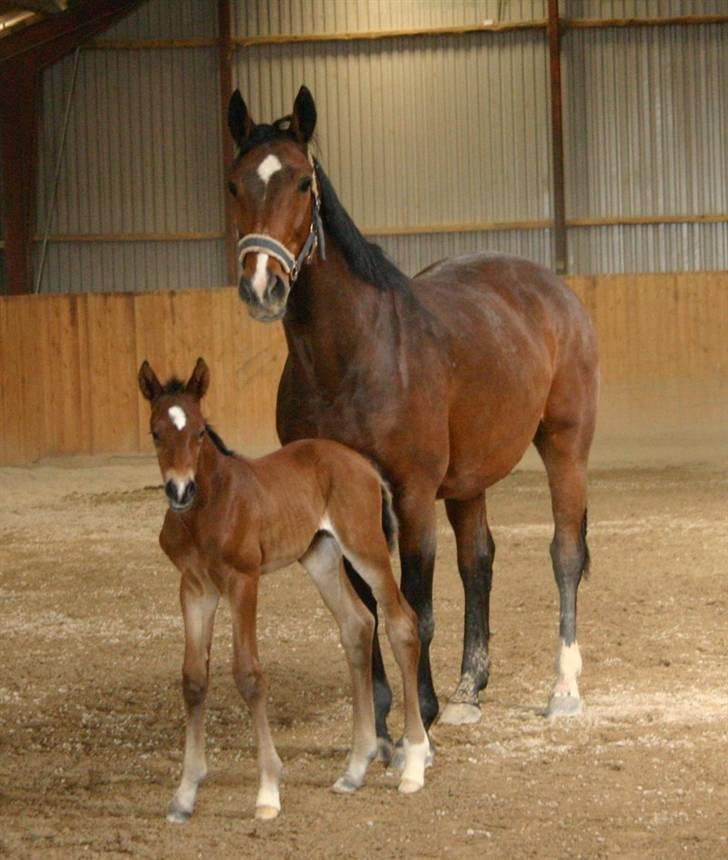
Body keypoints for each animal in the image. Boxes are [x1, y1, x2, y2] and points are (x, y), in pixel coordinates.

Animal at [139, 360, 430, 824]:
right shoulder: (195, 587)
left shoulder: (243, 579)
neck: (210, 506)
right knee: (357, 625)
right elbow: (194, 679)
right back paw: (354, 770)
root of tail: (363, 464)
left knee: (401, 623)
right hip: (321, 555)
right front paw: (184, 795)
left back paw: (414, 766)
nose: (179, 490)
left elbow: (249, 674)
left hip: (365, 547)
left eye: (200, 431)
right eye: (155, 432)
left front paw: (268, 792)